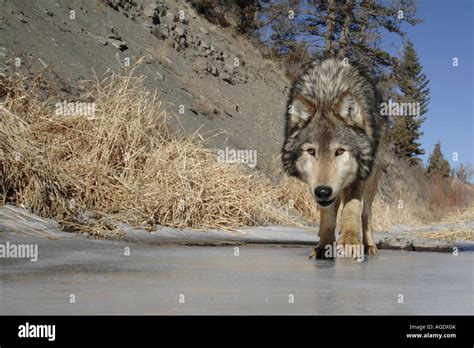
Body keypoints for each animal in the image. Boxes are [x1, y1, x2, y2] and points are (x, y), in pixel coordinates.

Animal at [282, 58, 386, 258]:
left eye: (339, 151)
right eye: (311, 151)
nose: (323, 191)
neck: (327, 95)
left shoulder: (359, 176)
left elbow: (352, 208)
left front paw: (350, 241)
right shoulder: (317, 188)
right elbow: (329, 217)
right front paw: (324, 247)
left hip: (372, 178)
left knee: (366, 214)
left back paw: (369, 245)